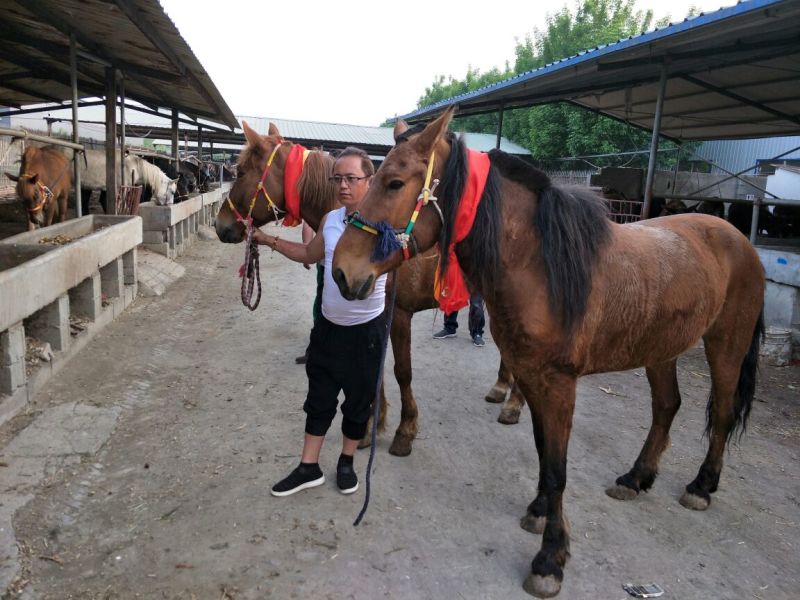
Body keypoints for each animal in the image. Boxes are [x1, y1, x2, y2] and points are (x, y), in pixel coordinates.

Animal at [214, 120, 519, 455]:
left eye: (241, 171)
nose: (220, 225)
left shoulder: (398, 314)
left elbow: (401, 371)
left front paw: (405, 430)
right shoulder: (377, 317)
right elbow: (376, 371)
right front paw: (371, 425)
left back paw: (514, 404)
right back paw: (501, 387)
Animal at [331, 107, 766, 598]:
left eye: (394, 183)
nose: (343, 272)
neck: (539, 265)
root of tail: (736, 237)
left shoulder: (558, 383)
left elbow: (558, 467)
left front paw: (550, 558)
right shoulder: (530, 374)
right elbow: (543, 451)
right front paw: (539, 510)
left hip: (726, 345)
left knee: (723, 413)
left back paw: (702, 485)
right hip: (661, 349)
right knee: (667, 407)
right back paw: (636, 477)